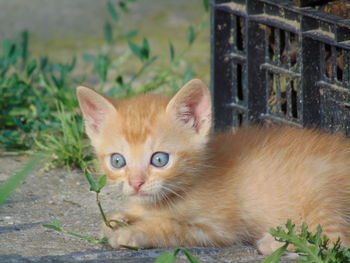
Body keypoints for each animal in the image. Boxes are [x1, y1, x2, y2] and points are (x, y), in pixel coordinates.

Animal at [76, 79, 350, 255]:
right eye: (117, 161)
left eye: (159, 159)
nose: (136, 183)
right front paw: (119, 219)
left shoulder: (216, 228)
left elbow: (170, 227)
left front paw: (130, 233)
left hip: (325, 191)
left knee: (337, 240)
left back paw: (275, 242)